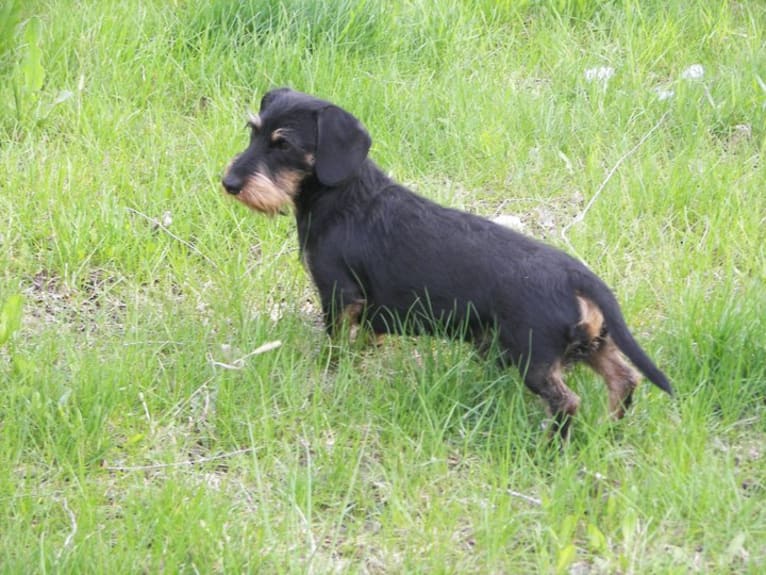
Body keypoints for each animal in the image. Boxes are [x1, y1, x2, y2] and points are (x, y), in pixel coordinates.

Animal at [220, 89, 672, 440]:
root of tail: (579, 277)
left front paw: (331, 373)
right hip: (593, 344)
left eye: (283, 145)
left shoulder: (338, 294)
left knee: (568, 401)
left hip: (534, 358)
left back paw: (552, 446)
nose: (229, 183)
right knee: (624, 380)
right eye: (253, 132)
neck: (345, 198)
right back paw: (609, 431)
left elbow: (335, 344)